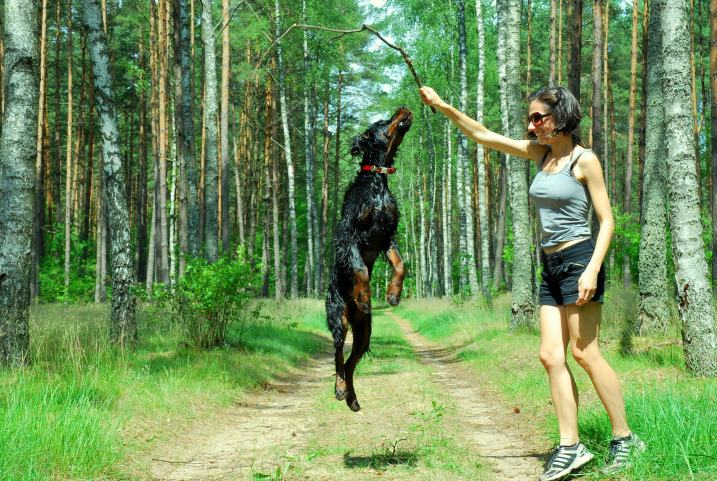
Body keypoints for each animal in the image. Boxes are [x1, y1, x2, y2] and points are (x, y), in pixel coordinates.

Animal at [326, 106, 413, 412]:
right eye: (382, 122)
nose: (403, 107)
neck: (376, 180)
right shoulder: (348, 234)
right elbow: (361, 270)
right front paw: (364, 296)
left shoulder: (386, 236)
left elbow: (401, 264)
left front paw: (393, 294)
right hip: (338, 318)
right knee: (339, 359)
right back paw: (340, 390)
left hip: (364, 332)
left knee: (351, 363)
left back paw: (352, 398)